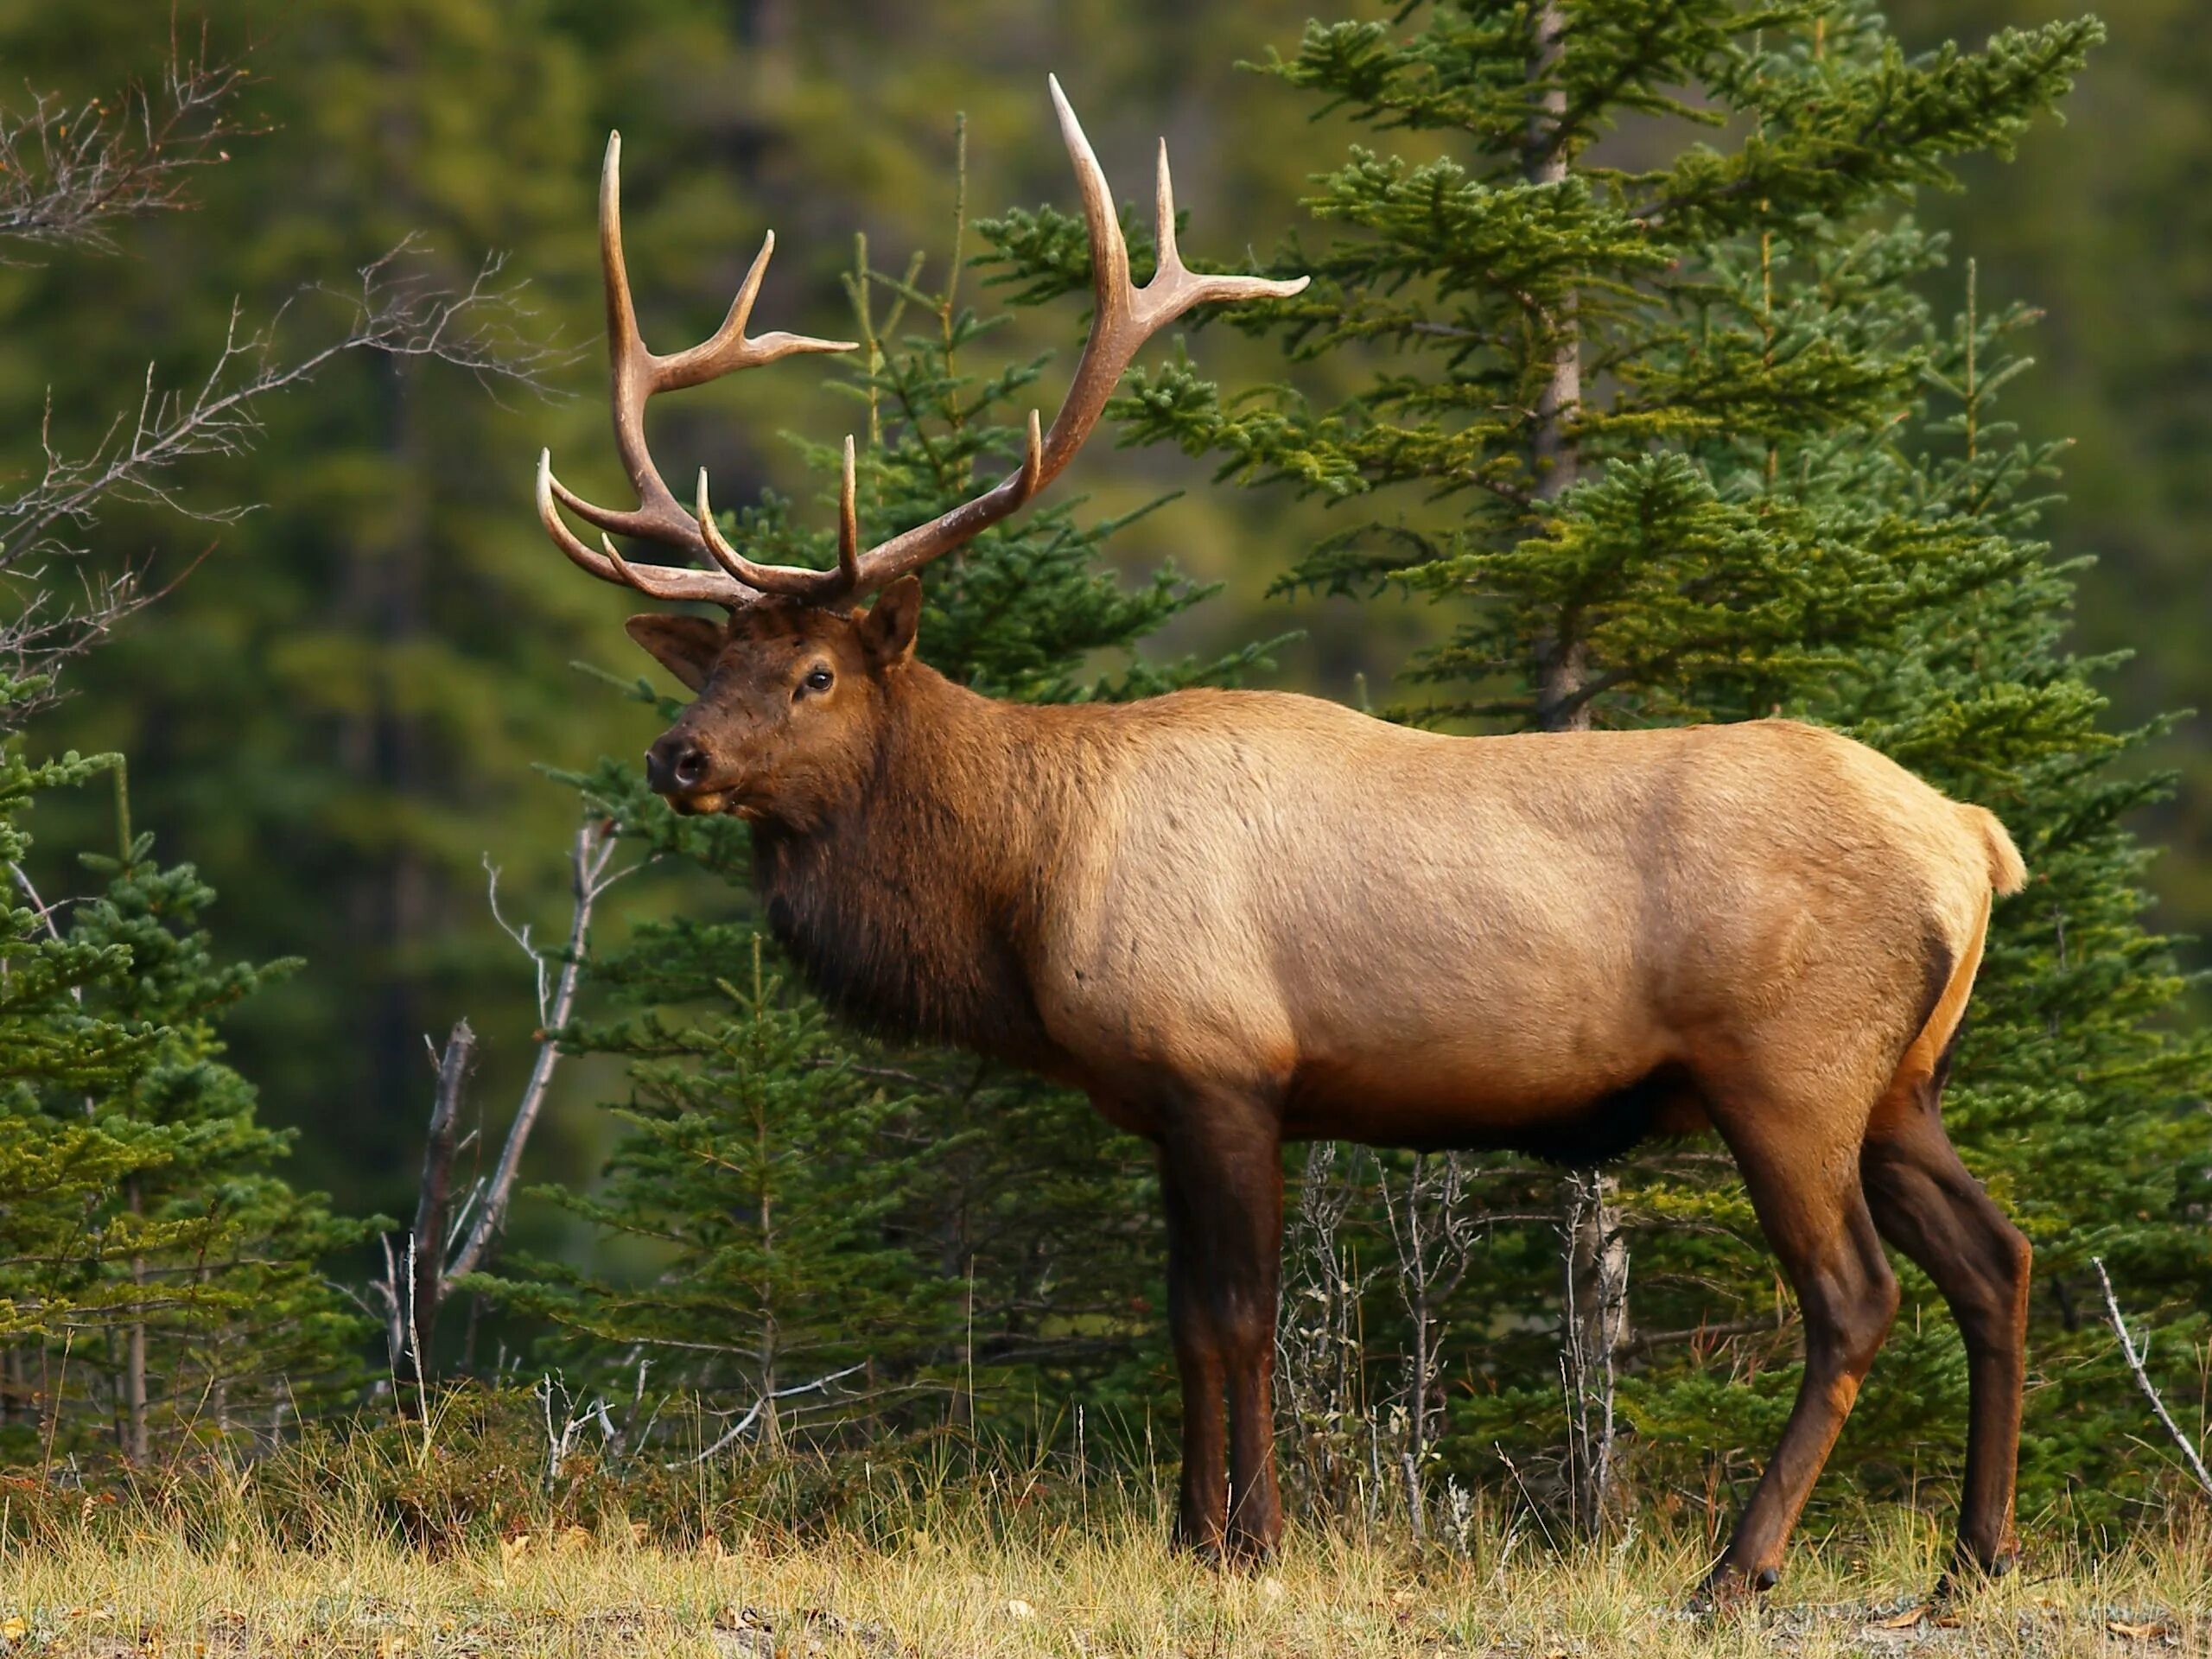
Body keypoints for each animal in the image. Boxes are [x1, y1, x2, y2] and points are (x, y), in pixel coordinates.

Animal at [539, 78, 2035, 1601]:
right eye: (711, 664)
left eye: (816, 676)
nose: (677, 758)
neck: (1026, 888)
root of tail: (1976, 842)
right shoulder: (1159, 1094)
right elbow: (1182, 1318)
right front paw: (1191, 1532)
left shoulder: (1225, 1066)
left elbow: (1236, 1317)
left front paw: (1250, 1539)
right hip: (1902, 1079)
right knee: (2000, 1257)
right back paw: (1972, 1556)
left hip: (1787, 1068)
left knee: (1857, 1296)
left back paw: (1740, 1566)